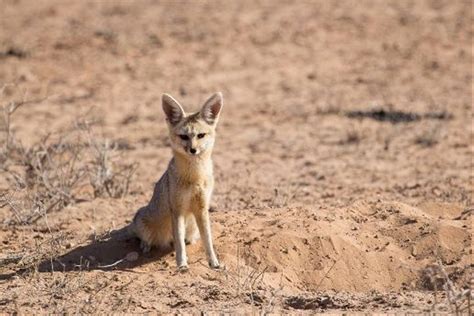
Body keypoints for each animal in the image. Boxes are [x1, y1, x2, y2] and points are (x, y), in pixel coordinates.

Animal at [129, 92, 223, 270]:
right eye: (184, 136)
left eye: (200, 135)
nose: (193, 150)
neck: (194, 177)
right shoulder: (177, 209)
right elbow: (179, 242)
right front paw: (182, 265)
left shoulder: (202, 208)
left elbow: (207, 239)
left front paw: (214, 262)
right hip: (143, 221)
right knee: (144, 237)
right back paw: (146, 245)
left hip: (192, 226)